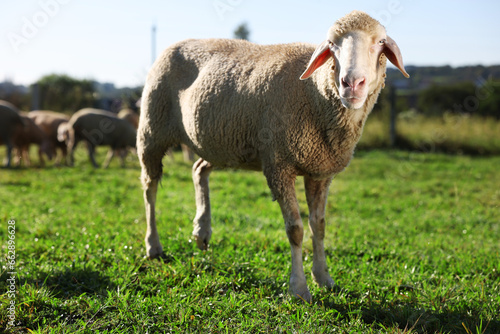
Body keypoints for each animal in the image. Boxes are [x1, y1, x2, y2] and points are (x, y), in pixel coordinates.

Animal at [138, 11, 410, 302]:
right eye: (331, 44)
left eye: (380, 42)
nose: (351, 84)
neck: (313, 92)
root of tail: (178, 43)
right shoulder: (279, 166)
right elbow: (296, 230)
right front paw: (299, 288)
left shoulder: (320, 171)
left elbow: (319, 225)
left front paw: (323, 277)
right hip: (152, 129)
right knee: (150, 188)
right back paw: (153, 245)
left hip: (220, 140)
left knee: (198, 169)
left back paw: (202, 231)